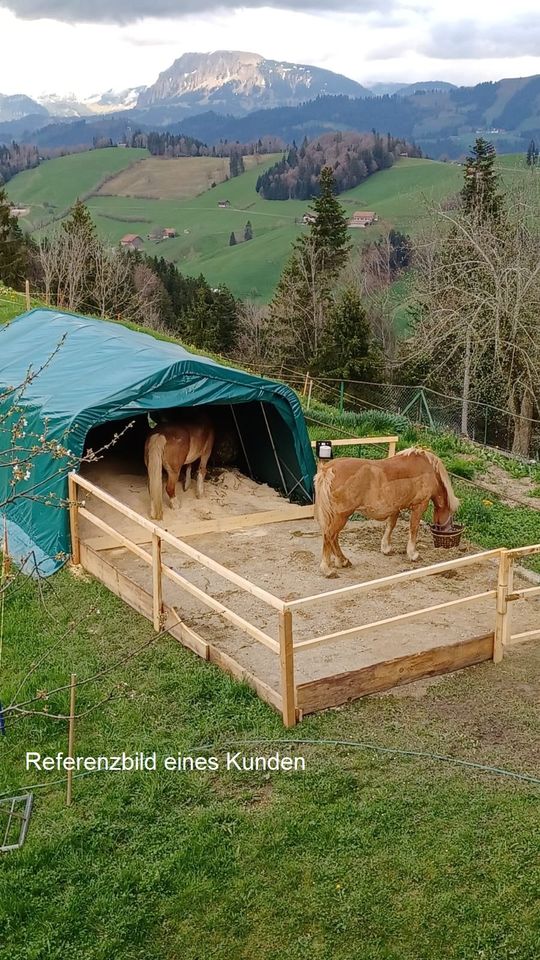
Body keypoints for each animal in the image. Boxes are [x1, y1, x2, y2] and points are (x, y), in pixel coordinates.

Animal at [312, 450, 460, 576]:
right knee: (329, 536)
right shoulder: (419, 506)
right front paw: (413, 554)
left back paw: (342, 561)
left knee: (333, 537)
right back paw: (327, 569)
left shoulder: (395, 508)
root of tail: (328, 469)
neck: (429, 470)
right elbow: (413, 529)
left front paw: (386, 548)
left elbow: (390, 526)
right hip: (341, 516)